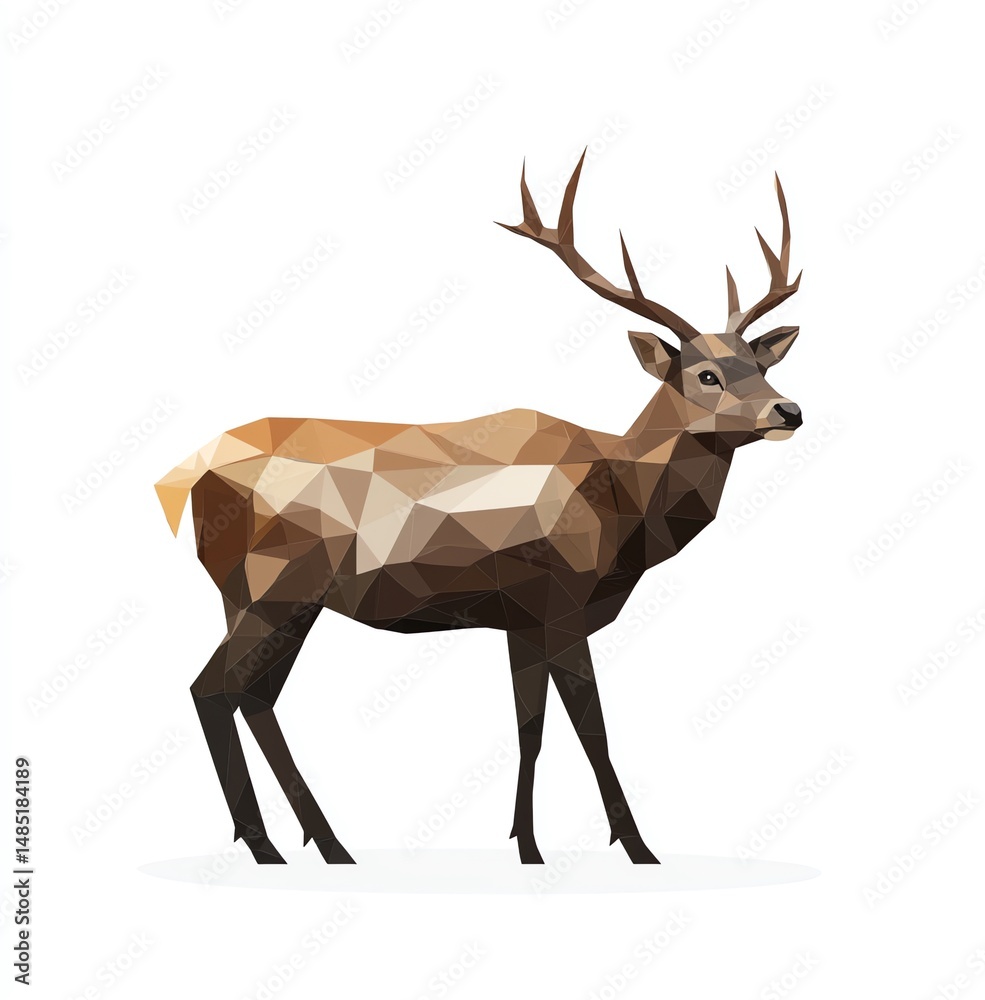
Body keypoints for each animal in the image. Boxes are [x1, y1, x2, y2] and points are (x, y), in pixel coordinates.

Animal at [156, 152, 803, 865]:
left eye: (760, 365)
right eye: (705, 375)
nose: (790, 410)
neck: (623, 507)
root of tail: (185, 479)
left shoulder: (521, 619)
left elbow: (530, 728)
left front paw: (527, 845)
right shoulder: (559, 599)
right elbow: (592, 729)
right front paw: (638, 848)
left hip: (251, 595)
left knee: (253, 696)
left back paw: (325, 845)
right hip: (276, 585)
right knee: (212, 688)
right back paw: (269, 845)